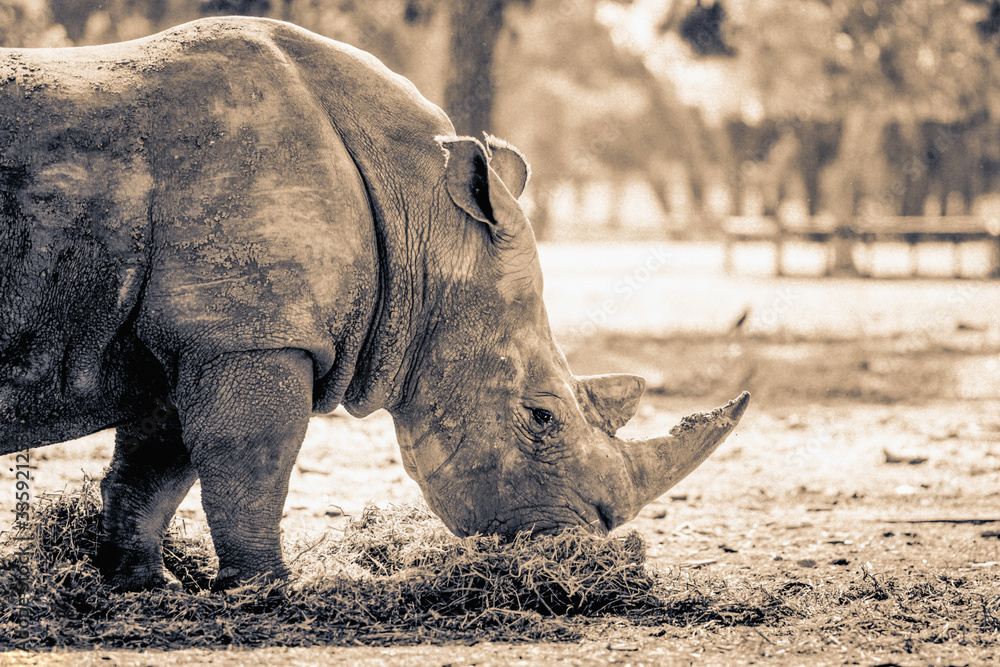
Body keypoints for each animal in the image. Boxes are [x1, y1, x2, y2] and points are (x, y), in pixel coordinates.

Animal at [0, 17, 749, 590]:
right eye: (541, 418)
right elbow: (251, 457)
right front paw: (268, 588)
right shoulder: (254, 333)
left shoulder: (199, 332)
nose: (584, 544)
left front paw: (141, 583)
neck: (421, 214)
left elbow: (157, 464)